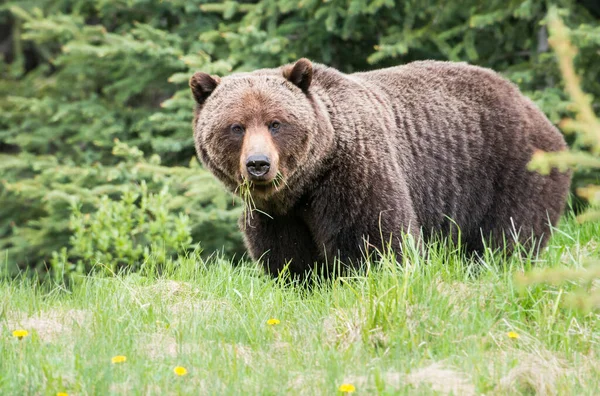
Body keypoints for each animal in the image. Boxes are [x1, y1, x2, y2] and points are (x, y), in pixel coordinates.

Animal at [190, 58, 568, 276]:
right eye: (236, 126)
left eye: (276, 123)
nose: (258, 164)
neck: (305, 183)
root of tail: (531, 105)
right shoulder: (275, 213)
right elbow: (287, 257)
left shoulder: (355, 174)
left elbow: (377, 237)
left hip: (508, 169)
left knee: (508, 236)